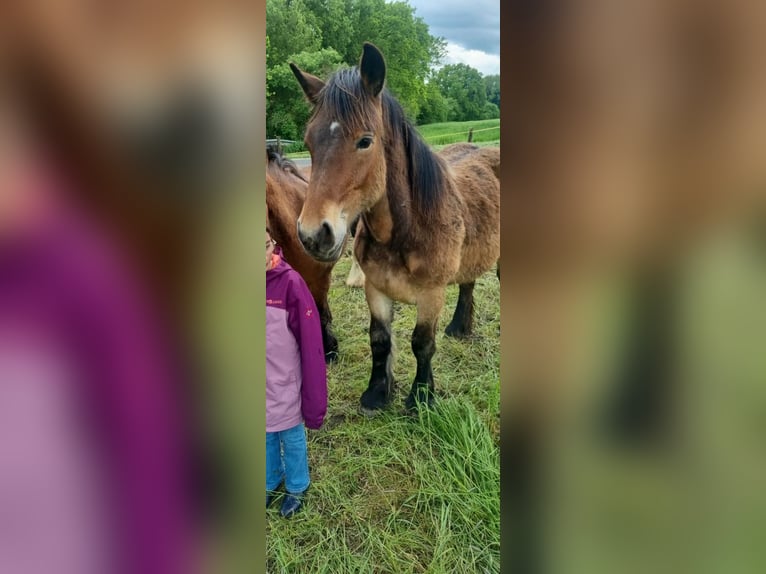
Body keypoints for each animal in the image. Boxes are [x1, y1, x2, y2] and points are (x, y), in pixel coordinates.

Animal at [292, 44, 500, 414]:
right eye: (309, 141)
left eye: (365, 141)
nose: (314, 235)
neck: (404, 231)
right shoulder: (375, 288)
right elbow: (379, 339)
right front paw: (377, 393)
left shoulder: (431, 295)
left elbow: (422, 343)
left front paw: (421, 399)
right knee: (468, 283)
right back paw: (459, 328)